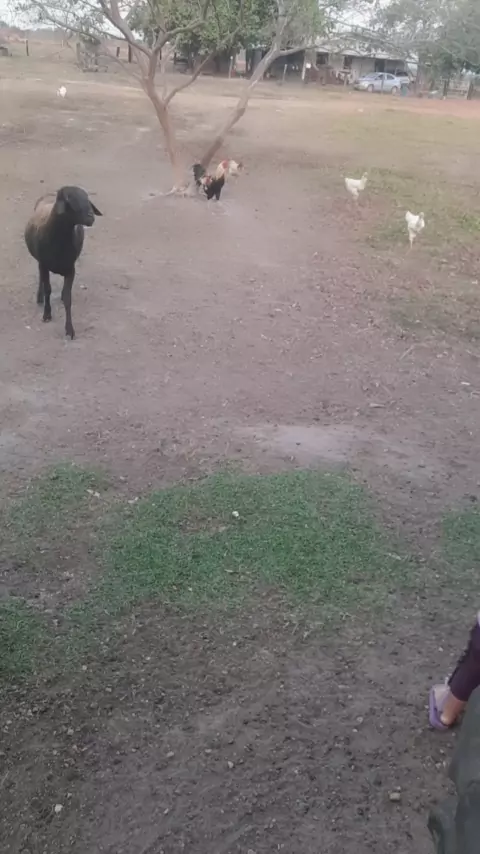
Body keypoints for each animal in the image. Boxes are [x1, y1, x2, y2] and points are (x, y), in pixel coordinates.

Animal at [24, 186, 102, 339]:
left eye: (87, 199)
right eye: (70, 200)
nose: (91, 217)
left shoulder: (70, 269)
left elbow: (67, 298)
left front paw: (69, 329)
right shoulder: (44, 264)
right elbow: (48, 289)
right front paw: (47, 314)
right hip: (40, 262)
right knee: (41, 278)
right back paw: (39, 297)